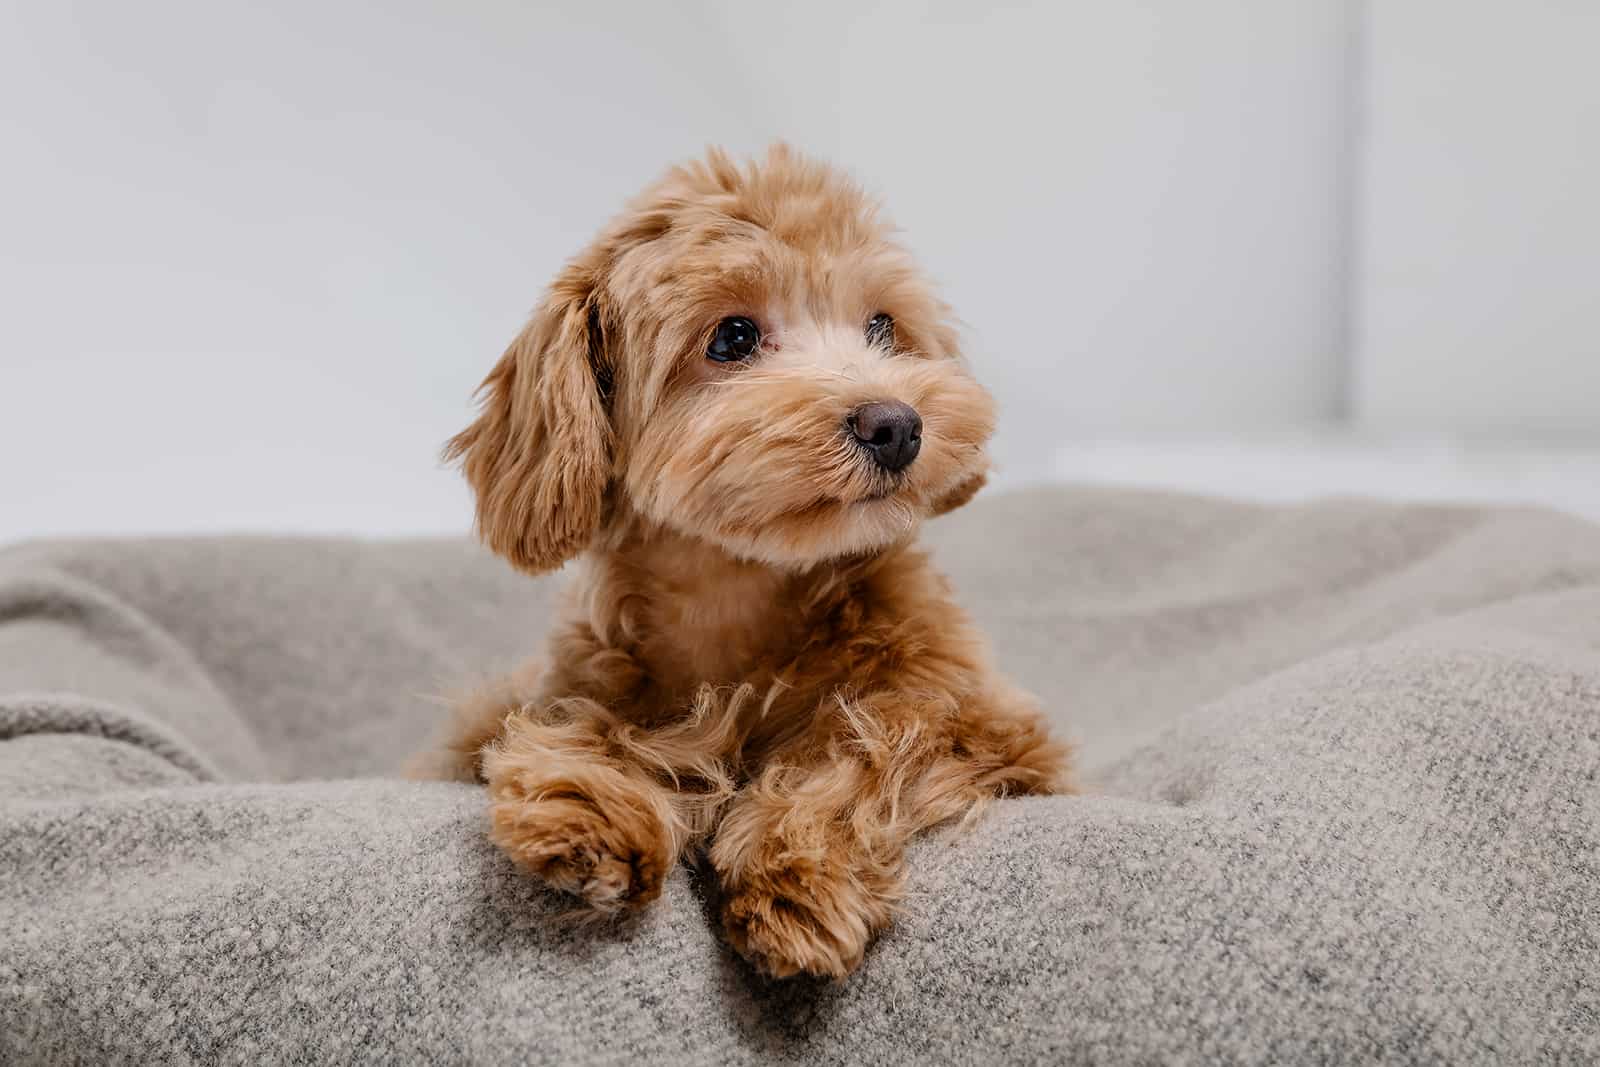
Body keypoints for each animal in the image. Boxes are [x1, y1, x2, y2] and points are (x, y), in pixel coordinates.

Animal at [419, 146, 1075, 979]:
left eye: (882, 326)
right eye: (732, 337)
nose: (895, 424)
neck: (739, 594)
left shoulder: (1000, 735)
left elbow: (877, 737)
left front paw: (797, 873)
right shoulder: (561, 684)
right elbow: (592, 724)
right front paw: (594, 800)